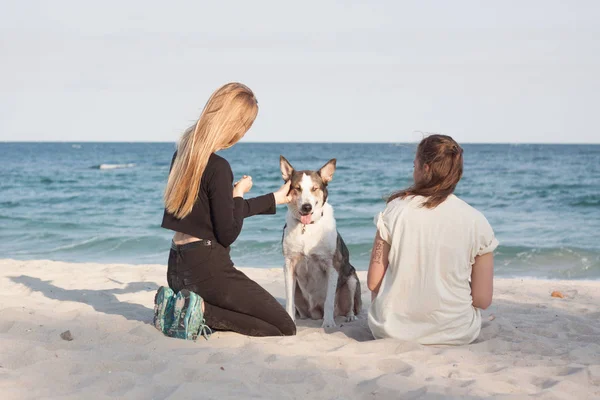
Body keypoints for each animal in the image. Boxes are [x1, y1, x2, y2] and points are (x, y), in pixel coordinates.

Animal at [280, 156, 360, 328]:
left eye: (314, 188)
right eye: (297, 188)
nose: (306, 207)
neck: (307, 227)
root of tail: (314, 314)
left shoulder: (332, 265)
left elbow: (329, 300)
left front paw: (328, 324)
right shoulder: (289, 264)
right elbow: (289, 300)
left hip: (351, 279)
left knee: (350, 306)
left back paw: (350, 317)